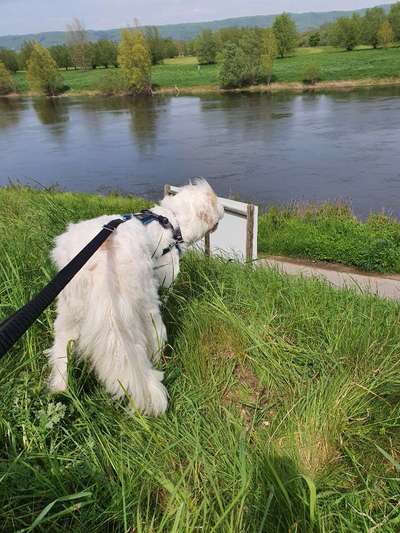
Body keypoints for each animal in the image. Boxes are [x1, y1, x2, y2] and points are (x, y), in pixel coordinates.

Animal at [46, 181, 225, 414]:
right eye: (217, 202)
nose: (223, 208)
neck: (172, 220)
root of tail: (102, 259)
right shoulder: (165, 277)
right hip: (149, 313)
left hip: (68, 311)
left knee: (61, 350)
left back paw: (60, 388)